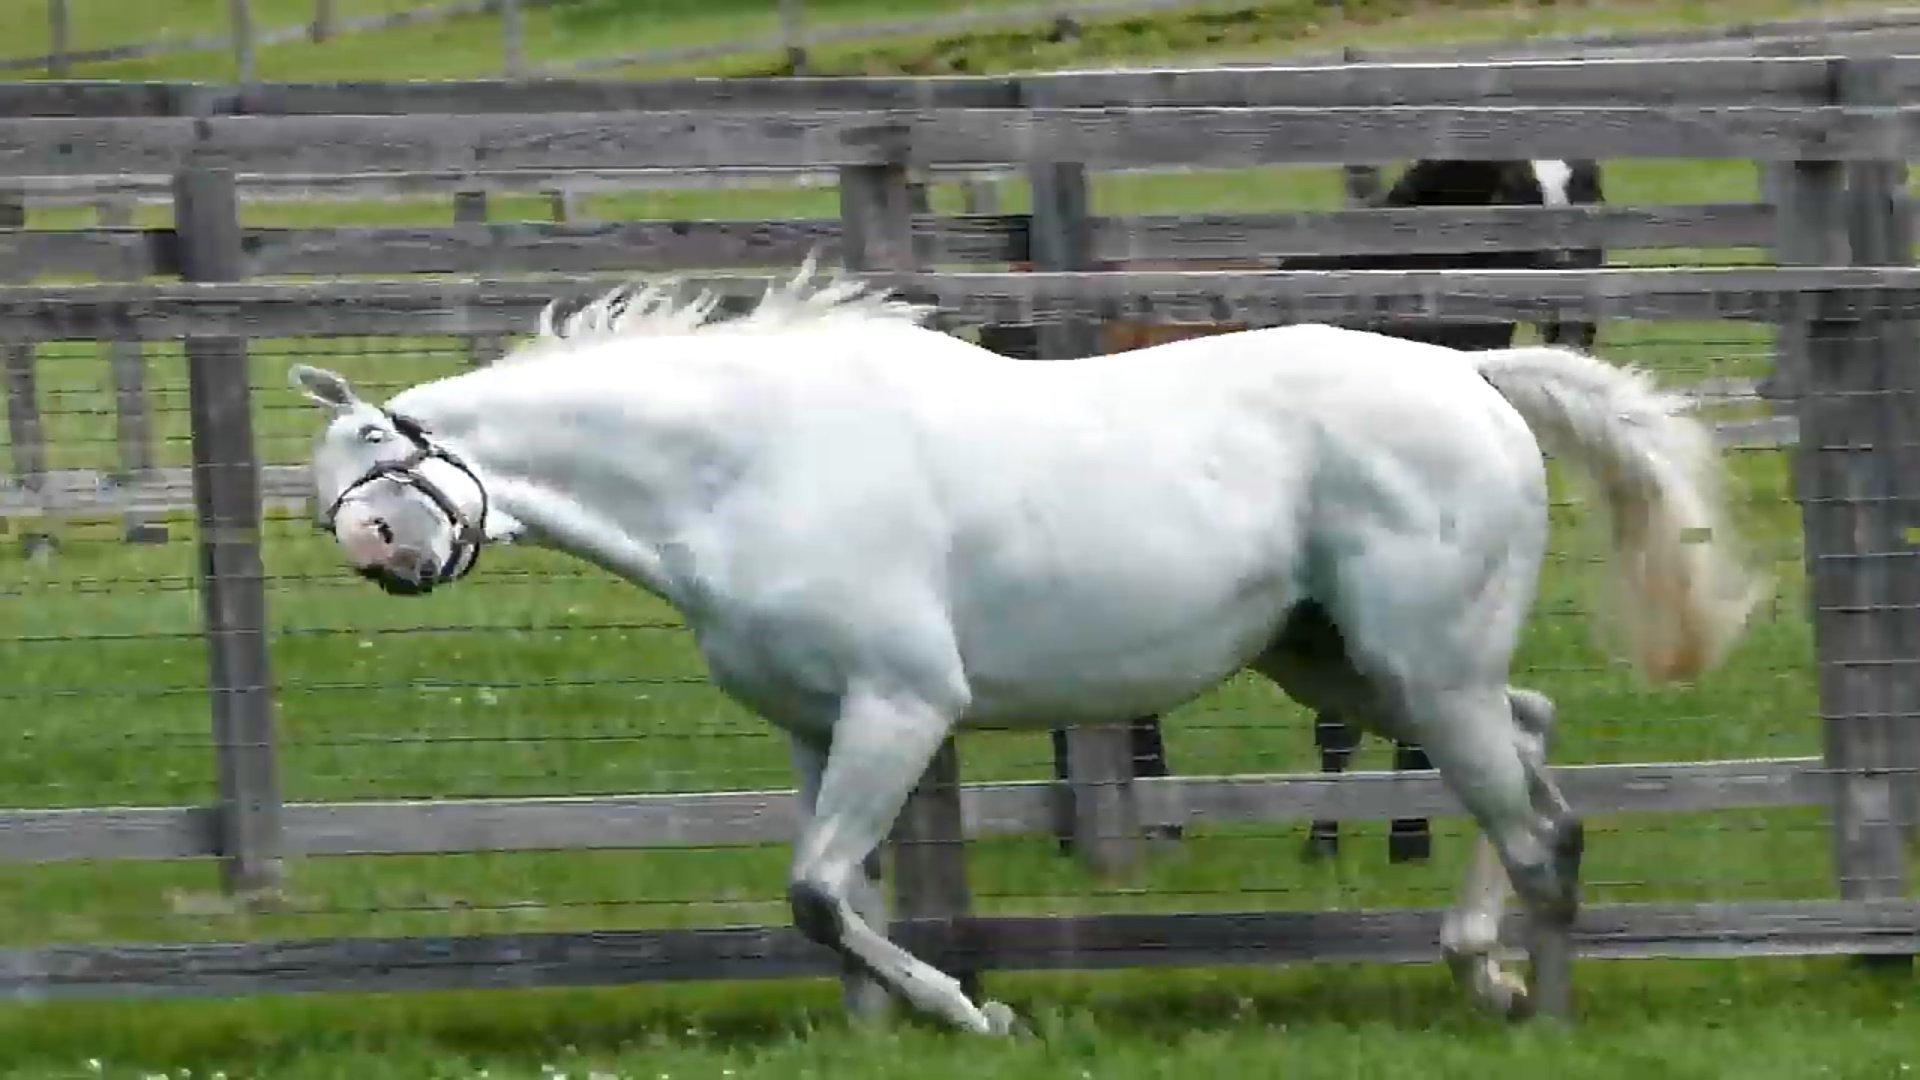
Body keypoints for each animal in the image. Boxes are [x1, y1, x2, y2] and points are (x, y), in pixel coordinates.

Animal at [292, 257, 1759, 1033]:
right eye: (325, 481)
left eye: (379, 451)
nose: (371, 556)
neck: (746, 460)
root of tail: (1471, 374)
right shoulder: (817, 727)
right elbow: (840, 895)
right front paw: (881, 1031)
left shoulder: (902, 705)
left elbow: (819, 891)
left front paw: (974, 1013)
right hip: (1344, 659)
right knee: (1535, 743)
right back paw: (1488, 974)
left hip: (1419, 667)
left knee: (1544, 825)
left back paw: (1536, 1004)